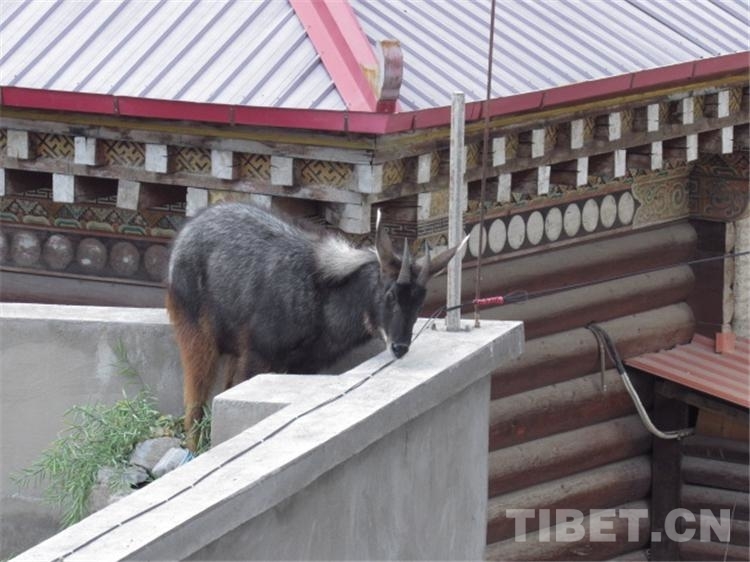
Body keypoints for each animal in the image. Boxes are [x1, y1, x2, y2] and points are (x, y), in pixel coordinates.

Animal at [166, 202, 466, 449]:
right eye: (390, 294)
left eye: (419, 301)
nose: (400, 347)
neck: (324, 303)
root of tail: (183, 236)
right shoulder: (257, 356)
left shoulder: (305, 364)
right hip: (196, 335)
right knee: (194, 407)